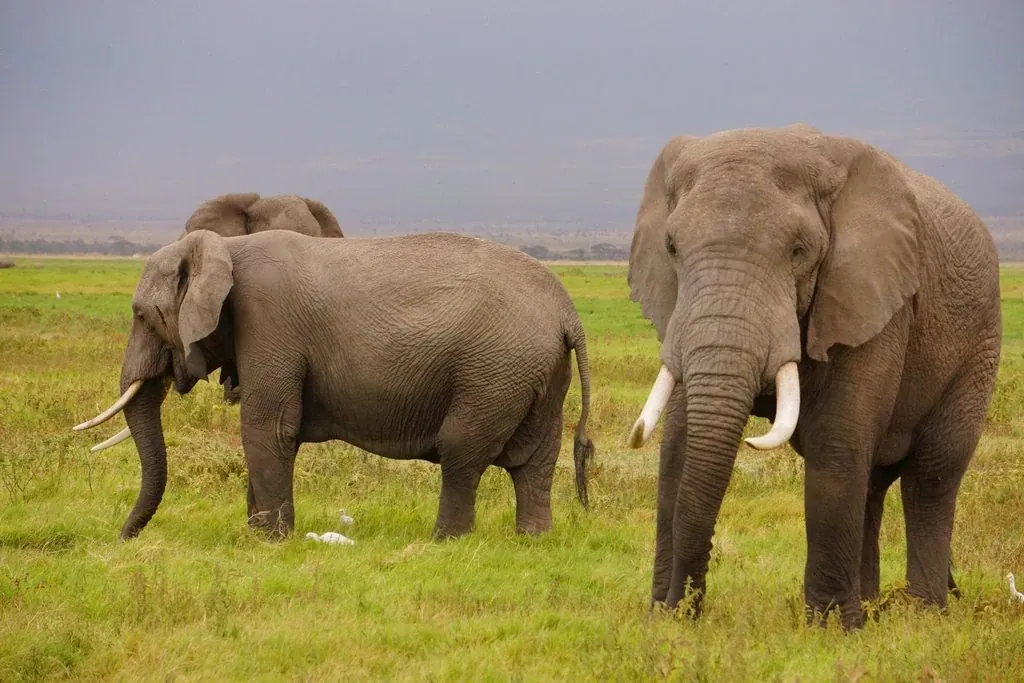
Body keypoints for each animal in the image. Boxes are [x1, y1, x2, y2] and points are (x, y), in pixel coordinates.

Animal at [73, 230, 595, 541]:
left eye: (142, 315)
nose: (121, 540)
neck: (227, 246)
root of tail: (568, 313)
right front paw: (257, 534)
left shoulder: (270, 323)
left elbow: (266, 427)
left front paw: (269, 542)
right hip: (536, 373)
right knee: (534, 462)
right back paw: (532, 541)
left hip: (494, 370)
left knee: (462, 452)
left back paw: (445, 543)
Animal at [625, 124, 1001, 629]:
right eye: (670, 248)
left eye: (799, 252)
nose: (681, 604)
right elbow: (679, 445)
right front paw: (665, 620)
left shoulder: (870, 297)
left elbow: (835, 443)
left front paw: (827, 631)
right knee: (872, 484)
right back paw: (871, 613)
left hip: (980, 344)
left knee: (932, 477)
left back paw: (920, 617)